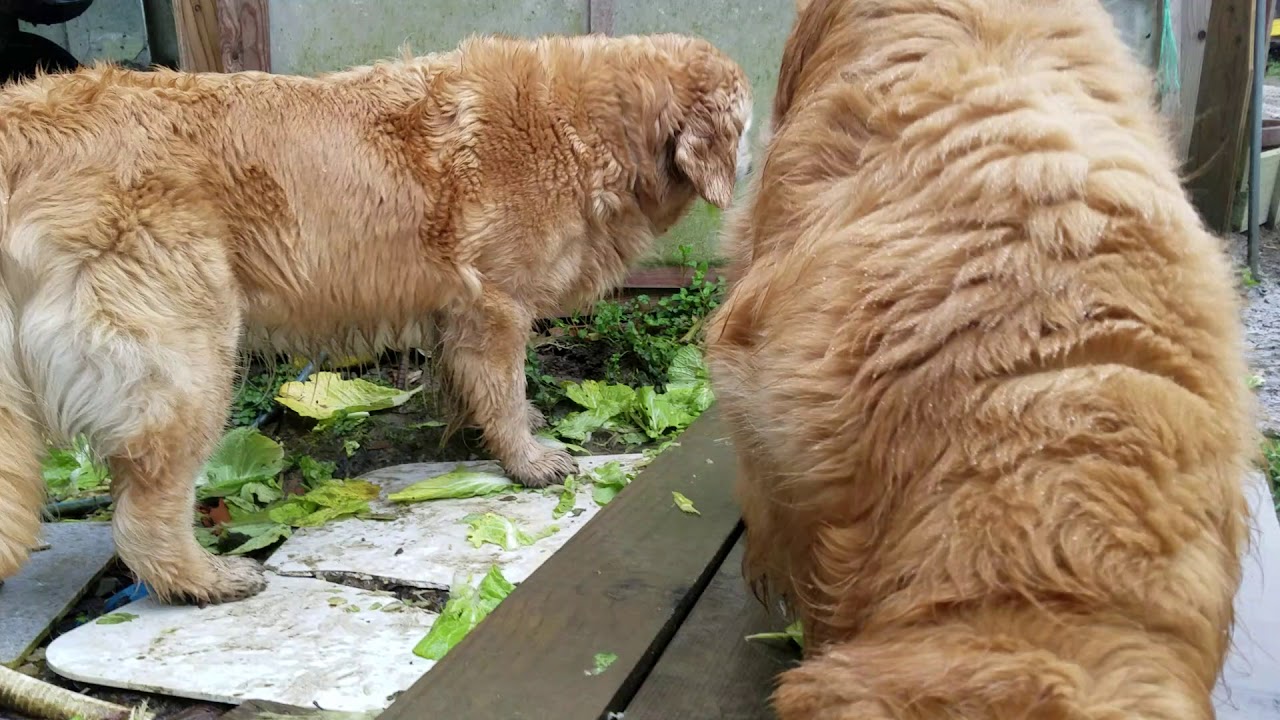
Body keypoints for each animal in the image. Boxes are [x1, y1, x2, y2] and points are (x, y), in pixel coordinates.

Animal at [0, 36, 752, 602]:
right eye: (747, 120)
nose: (757, 162)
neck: (590, 124)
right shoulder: (495, 306)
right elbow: (504, 389)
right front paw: (529, 459)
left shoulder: (457, 314)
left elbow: (474, 388)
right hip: (188, 365)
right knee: (143, 515)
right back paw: (205, 579)